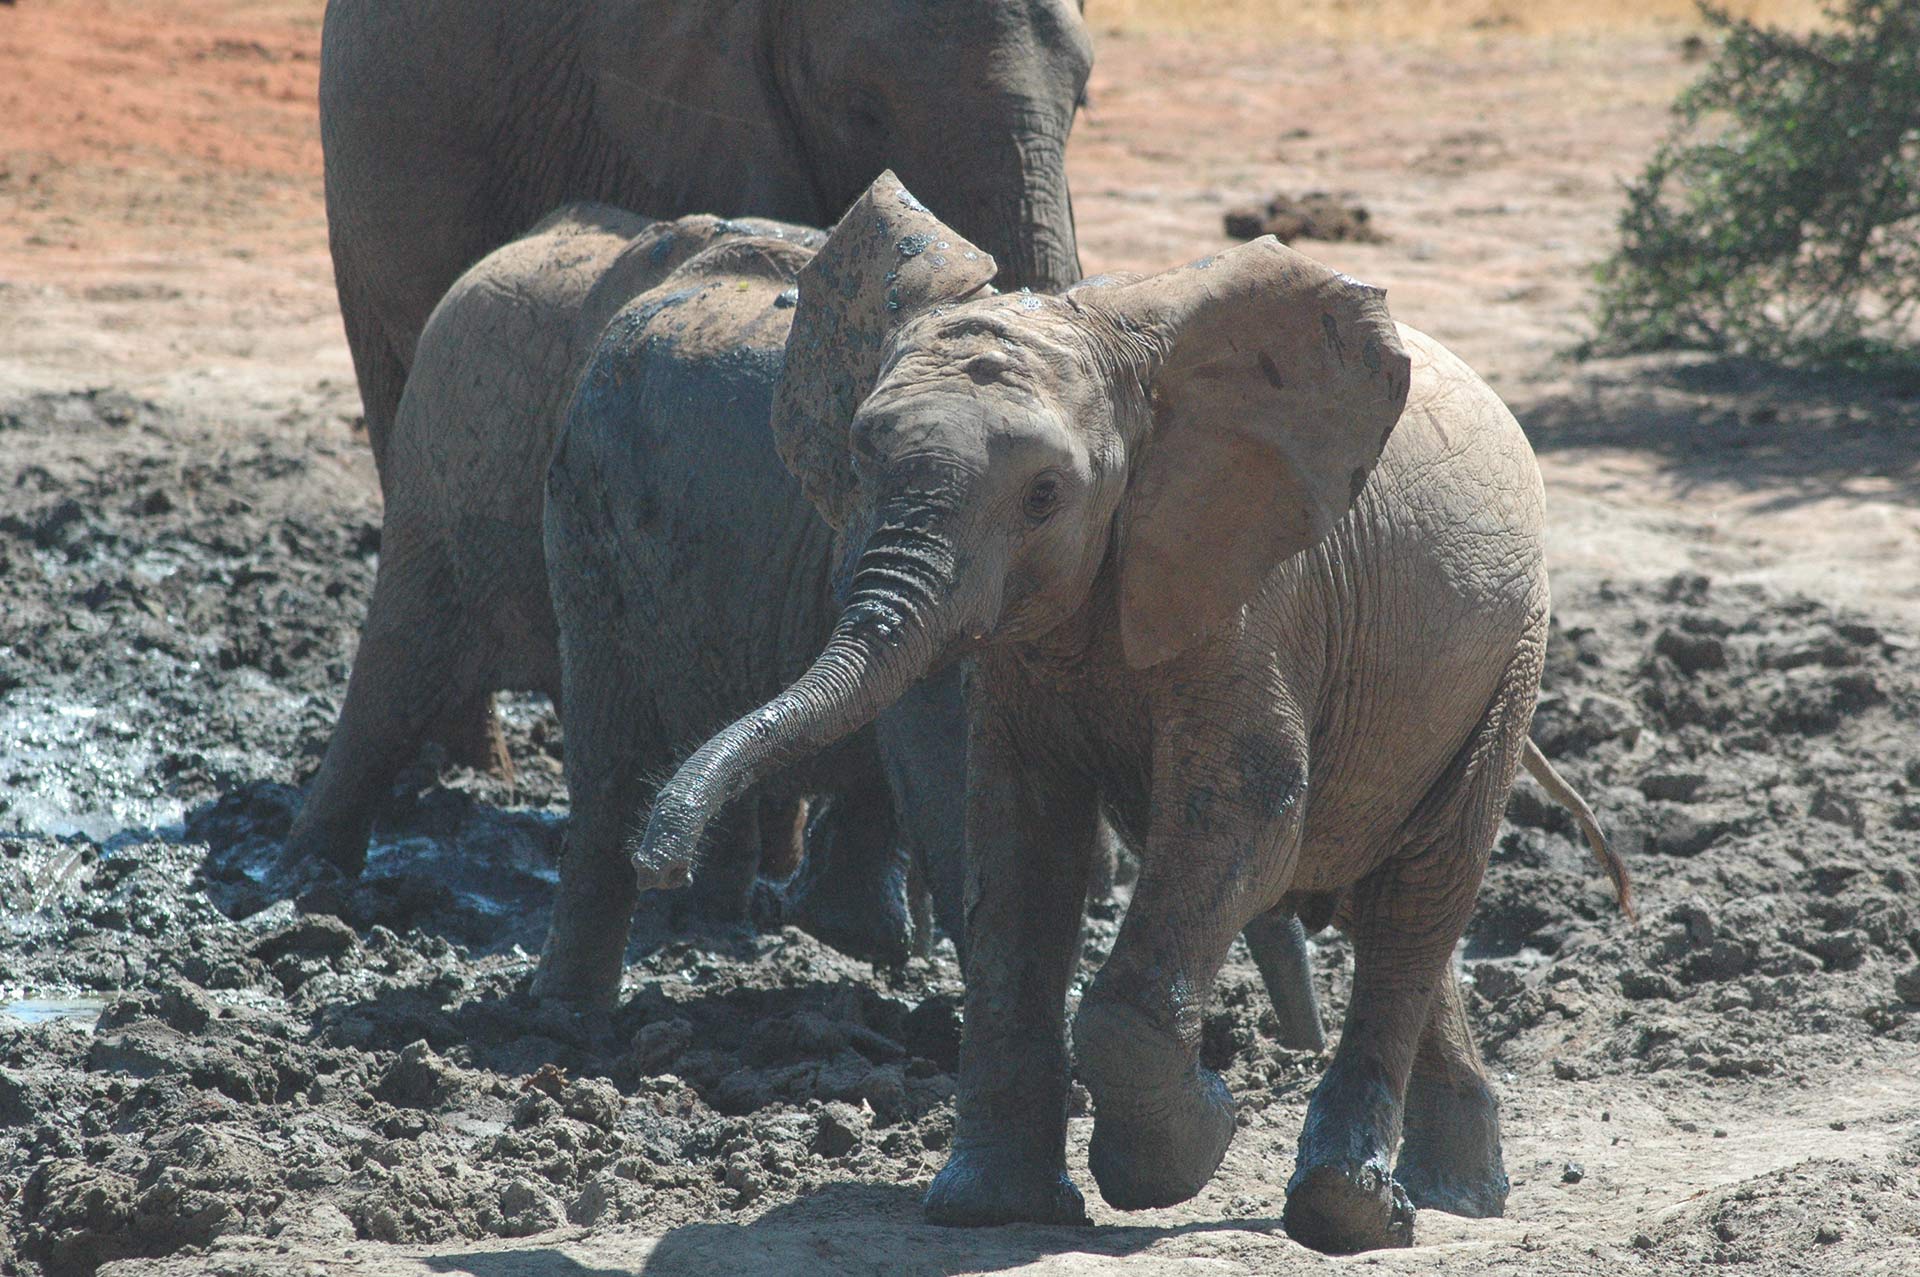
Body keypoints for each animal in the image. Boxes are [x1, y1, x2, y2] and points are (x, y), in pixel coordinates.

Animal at [637, 174, 1628, 1252]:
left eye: (1044, 494)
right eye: (860, 460)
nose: (659, 859)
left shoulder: (1254, 587)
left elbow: (1247, 816)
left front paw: (1186, 1146)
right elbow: (1020, 844)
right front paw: (989, 1207)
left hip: (1509, 651)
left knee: (1422, 888)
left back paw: (1354, 1212)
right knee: (1396, 901)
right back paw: (1451, 1194)